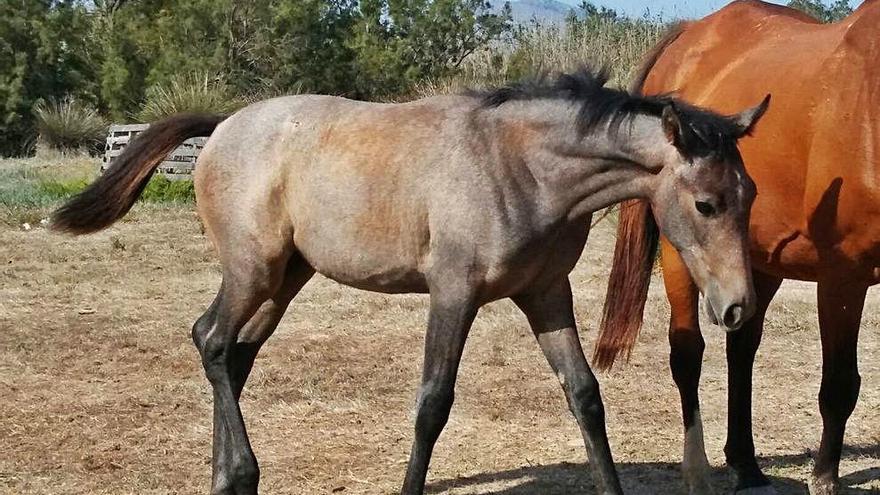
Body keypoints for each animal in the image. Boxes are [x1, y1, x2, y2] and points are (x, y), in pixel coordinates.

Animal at [51, 69, 764, 495]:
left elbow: (585, 396)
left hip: (286, 277)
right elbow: (432, 404)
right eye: (706, 204)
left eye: (750, 194)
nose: (737, 307)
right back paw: (241, 472)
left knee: (230, 350)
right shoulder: (454, 294)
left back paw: (226, 476)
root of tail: (224, 125)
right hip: (253, 271)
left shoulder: (545, 295)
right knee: (214, 341)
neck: (519, 167)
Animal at [596, 2, 876, 495]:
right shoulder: (844, 278)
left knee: (742, 347)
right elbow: (840, 385)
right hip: (681, 255)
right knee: (688, 353)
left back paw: (744, 463)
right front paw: (824, 477)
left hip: (759, 264)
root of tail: (691, 33)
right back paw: (700, 469)